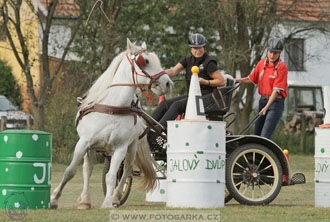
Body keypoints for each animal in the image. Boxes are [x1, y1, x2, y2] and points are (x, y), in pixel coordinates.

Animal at [50, 39, 174, 209]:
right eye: (145, 61)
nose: (168, 83)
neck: (113, 108)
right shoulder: (83, 143)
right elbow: (70, 171)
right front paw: (54, 199)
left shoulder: (121, 147)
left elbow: (111, 176)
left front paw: (108, 202)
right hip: (92, 148)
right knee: (87, 169)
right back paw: (85, 200)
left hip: (132, 145)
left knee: (127, 169)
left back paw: (116, 196)